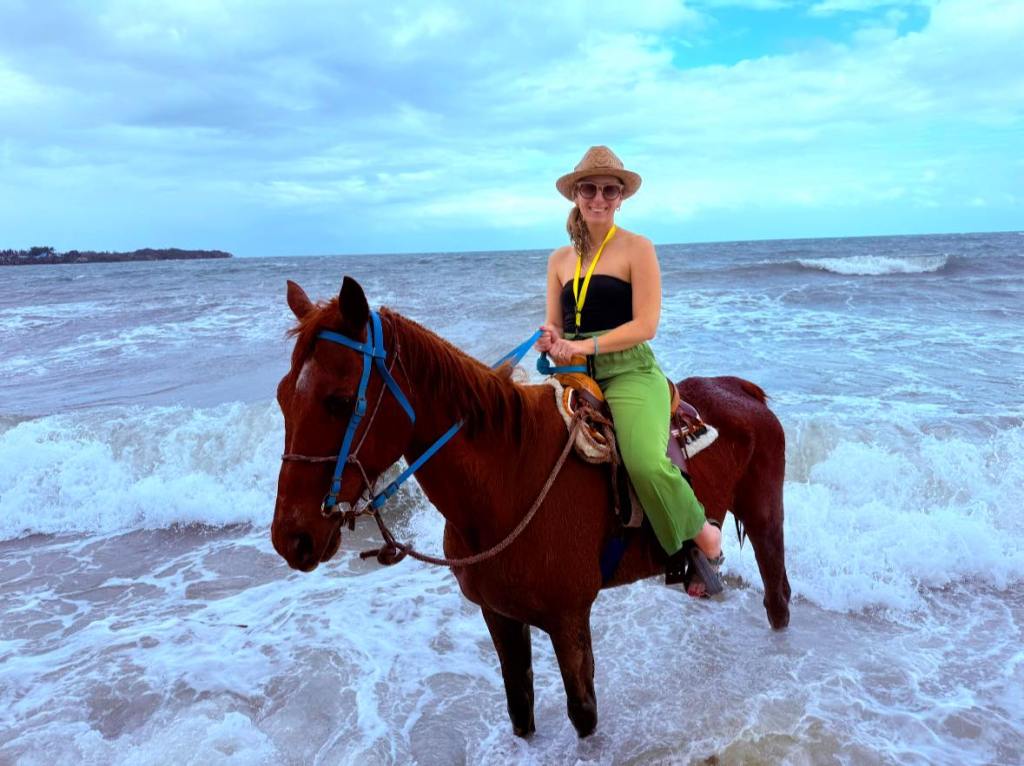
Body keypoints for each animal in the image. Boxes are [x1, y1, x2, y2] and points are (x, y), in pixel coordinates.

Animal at [272, 276, 790, 738]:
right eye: (281, 396)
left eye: (340, 401)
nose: (290, 539)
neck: (507, 479)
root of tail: (743, 390)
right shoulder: (499, 617)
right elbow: (520, 706)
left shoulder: (568, 620)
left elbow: (583, 713)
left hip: (766, 519)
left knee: (777, 597)